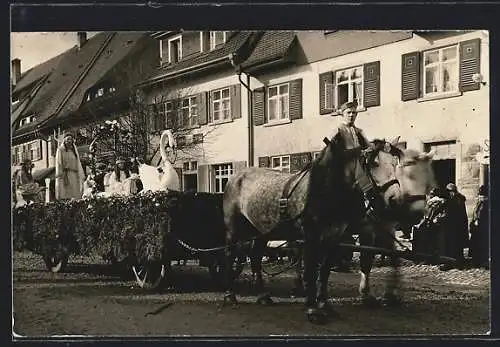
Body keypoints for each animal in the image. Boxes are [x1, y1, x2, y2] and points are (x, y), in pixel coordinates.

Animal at [223, 137, 406, 324]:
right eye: (374, 163)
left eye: (394, 163)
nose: (395, 199)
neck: (325, 190)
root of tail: (233, 178)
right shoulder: (311, 236)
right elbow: (311, 270)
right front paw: (312, 309)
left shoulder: (333, 238)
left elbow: (324, 271)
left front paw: (324, 304)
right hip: (234, 230)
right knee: (230, 255)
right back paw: (230, 294)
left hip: (261, 231)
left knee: (255, 257)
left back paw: (263, 295)